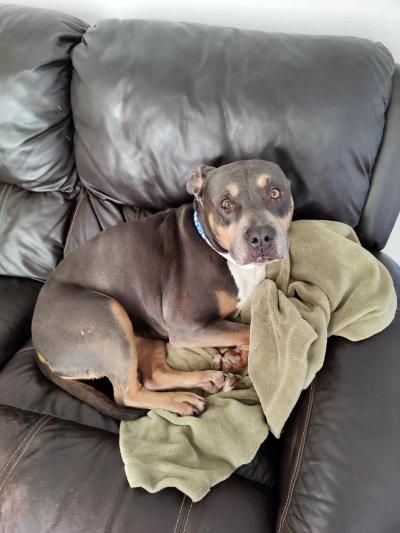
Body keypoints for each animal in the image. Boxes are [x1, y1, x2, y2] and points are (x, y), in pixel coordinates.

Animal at [31, 160, 294, 418]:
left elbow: (248, 331)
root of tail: (37, 344)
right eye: (225, 204)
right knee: (126, 394)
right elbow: (250, 330)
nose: (261, 237)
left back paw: (207, 381)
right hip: (107, 316)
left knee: (153, 376)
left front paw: (234, 358)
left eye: (275, 193)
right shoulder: (187, 326)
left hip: (142, 334)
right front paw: (236, 355)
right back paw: (183, 400)